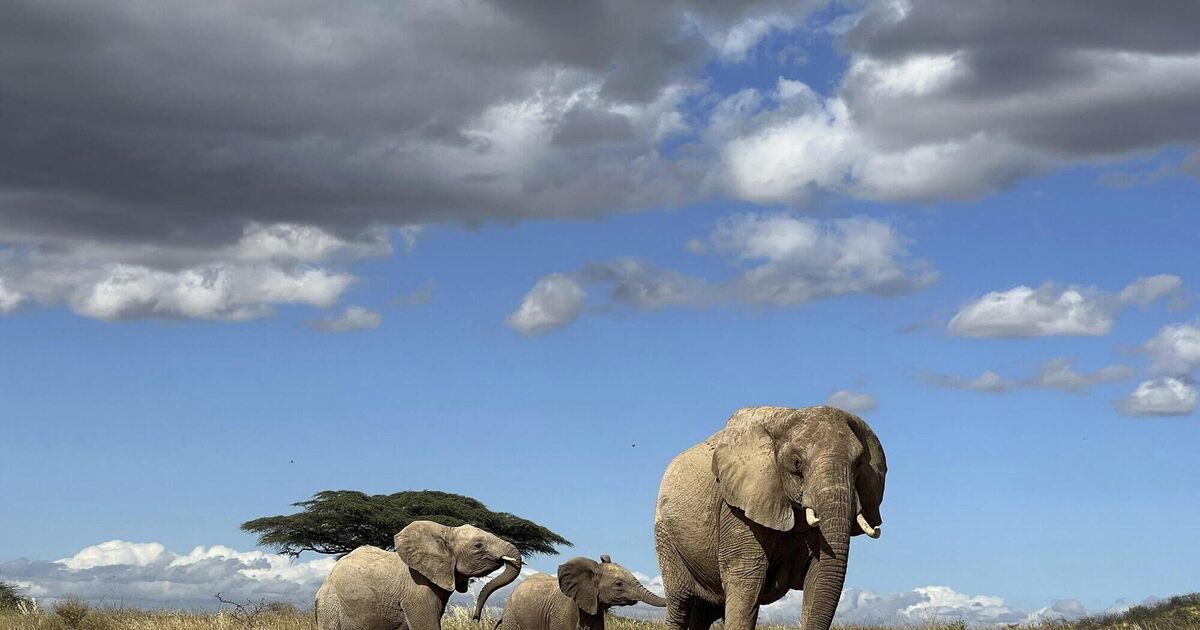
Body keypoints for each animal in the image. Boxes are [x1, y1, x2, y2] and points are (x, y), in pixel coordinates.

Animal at [653, 406, 887, 630]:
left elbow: (818, 577)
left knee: (703, 611)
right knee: (680, 603)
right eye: (796, 462)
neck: (787, 418)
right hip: (665, 537)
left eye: (858, 464)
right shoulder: (736, 508)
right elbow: (746, 579)